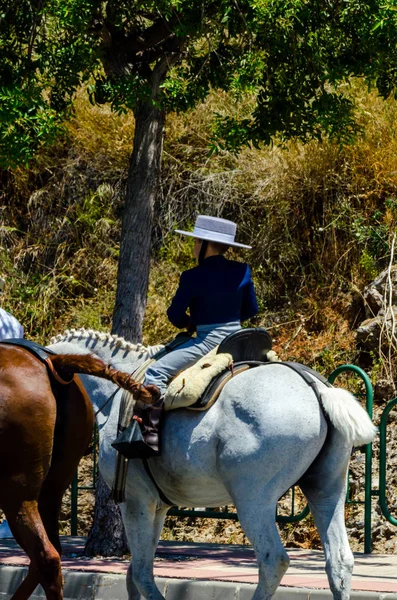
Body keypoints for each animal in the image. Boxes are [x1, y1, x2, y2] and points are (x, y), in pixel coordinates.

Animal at [48, 328, 376, 600]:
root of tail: (314, 387)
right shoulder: (157, 505)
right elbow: (136, 572)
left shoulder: (136, 500)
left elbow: (140, 573)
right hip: (327, 488)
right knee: (339, 561)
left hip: (253, 499)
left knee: (273, 560)